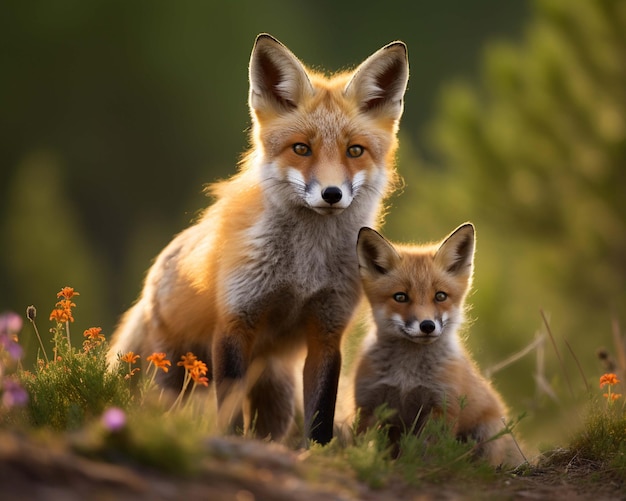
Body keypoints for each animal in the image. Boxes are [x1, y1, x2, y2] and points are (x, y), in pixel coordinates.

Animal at [107, 33, 410, 444]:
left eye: (355, 151)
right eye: (301, 148)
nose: (332, 194)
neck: (303, 268)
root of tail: (151, 280)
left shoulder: (327, 331)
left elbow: (321, 412)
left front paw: (315, 451)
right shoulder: (236, 320)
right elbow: (231, 404)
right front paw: (231, 442)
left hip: (276, 390)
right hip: (172, 376)